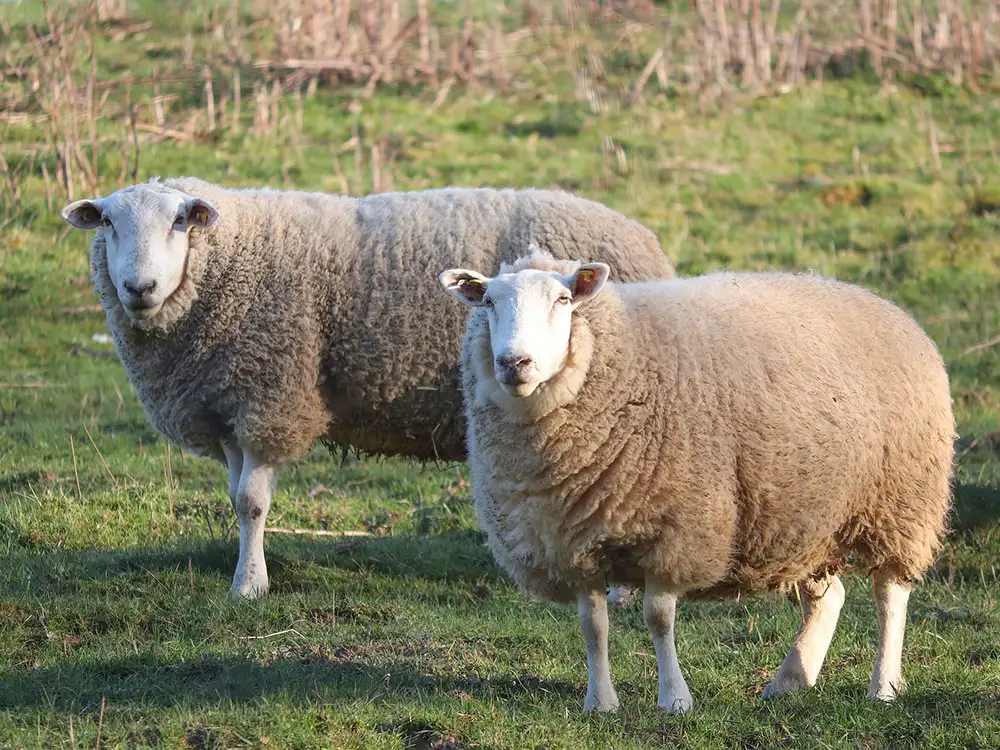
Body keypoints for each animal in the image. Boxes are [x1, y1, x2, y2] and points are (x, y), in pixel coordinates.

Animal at [59, 177, 675, 601]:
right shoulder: (230, 402)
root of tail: (647, 241)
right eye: (107, 224)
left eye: (179, 222)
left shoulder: (270, 395)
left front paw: (250, 587)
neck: (226, 266)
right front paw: (245, 570)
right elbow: (237, 498)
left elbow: (253, 502)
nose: (139, 287)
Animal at [439, 249, 954, 714]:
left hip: (901, 500)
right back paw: (791, 679)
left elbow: (658, 618)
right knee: (828, 598)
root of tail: (880, 302)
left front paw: (674, 699)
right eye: (488, 302)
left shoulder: (676, 529)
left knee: (889, 595)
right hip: (808, 515)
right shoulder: (572, 541)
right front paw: (600, 702)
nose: (514, 363)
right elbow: (592, 625)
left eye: (563, 300)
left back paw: (883, 686)